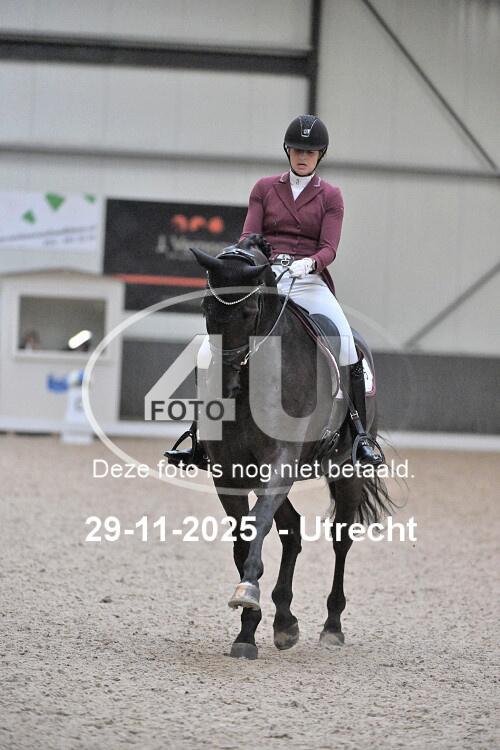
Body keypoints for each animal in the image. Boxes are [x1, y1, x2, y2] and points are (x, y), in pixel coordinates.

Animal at [186, 234, 392, 659]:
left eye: (248, 312)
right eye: (206, 308)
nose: (225, 387)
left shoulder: (280, 462)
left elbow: (257, 526)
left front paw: (248, 595)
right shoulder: (229, 474)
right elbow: (243, 539)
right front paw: (248, 629)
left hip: (347, 472)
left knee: (341, 539)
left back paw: (332, 627)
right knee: (292, 529)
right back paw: (284, 622)